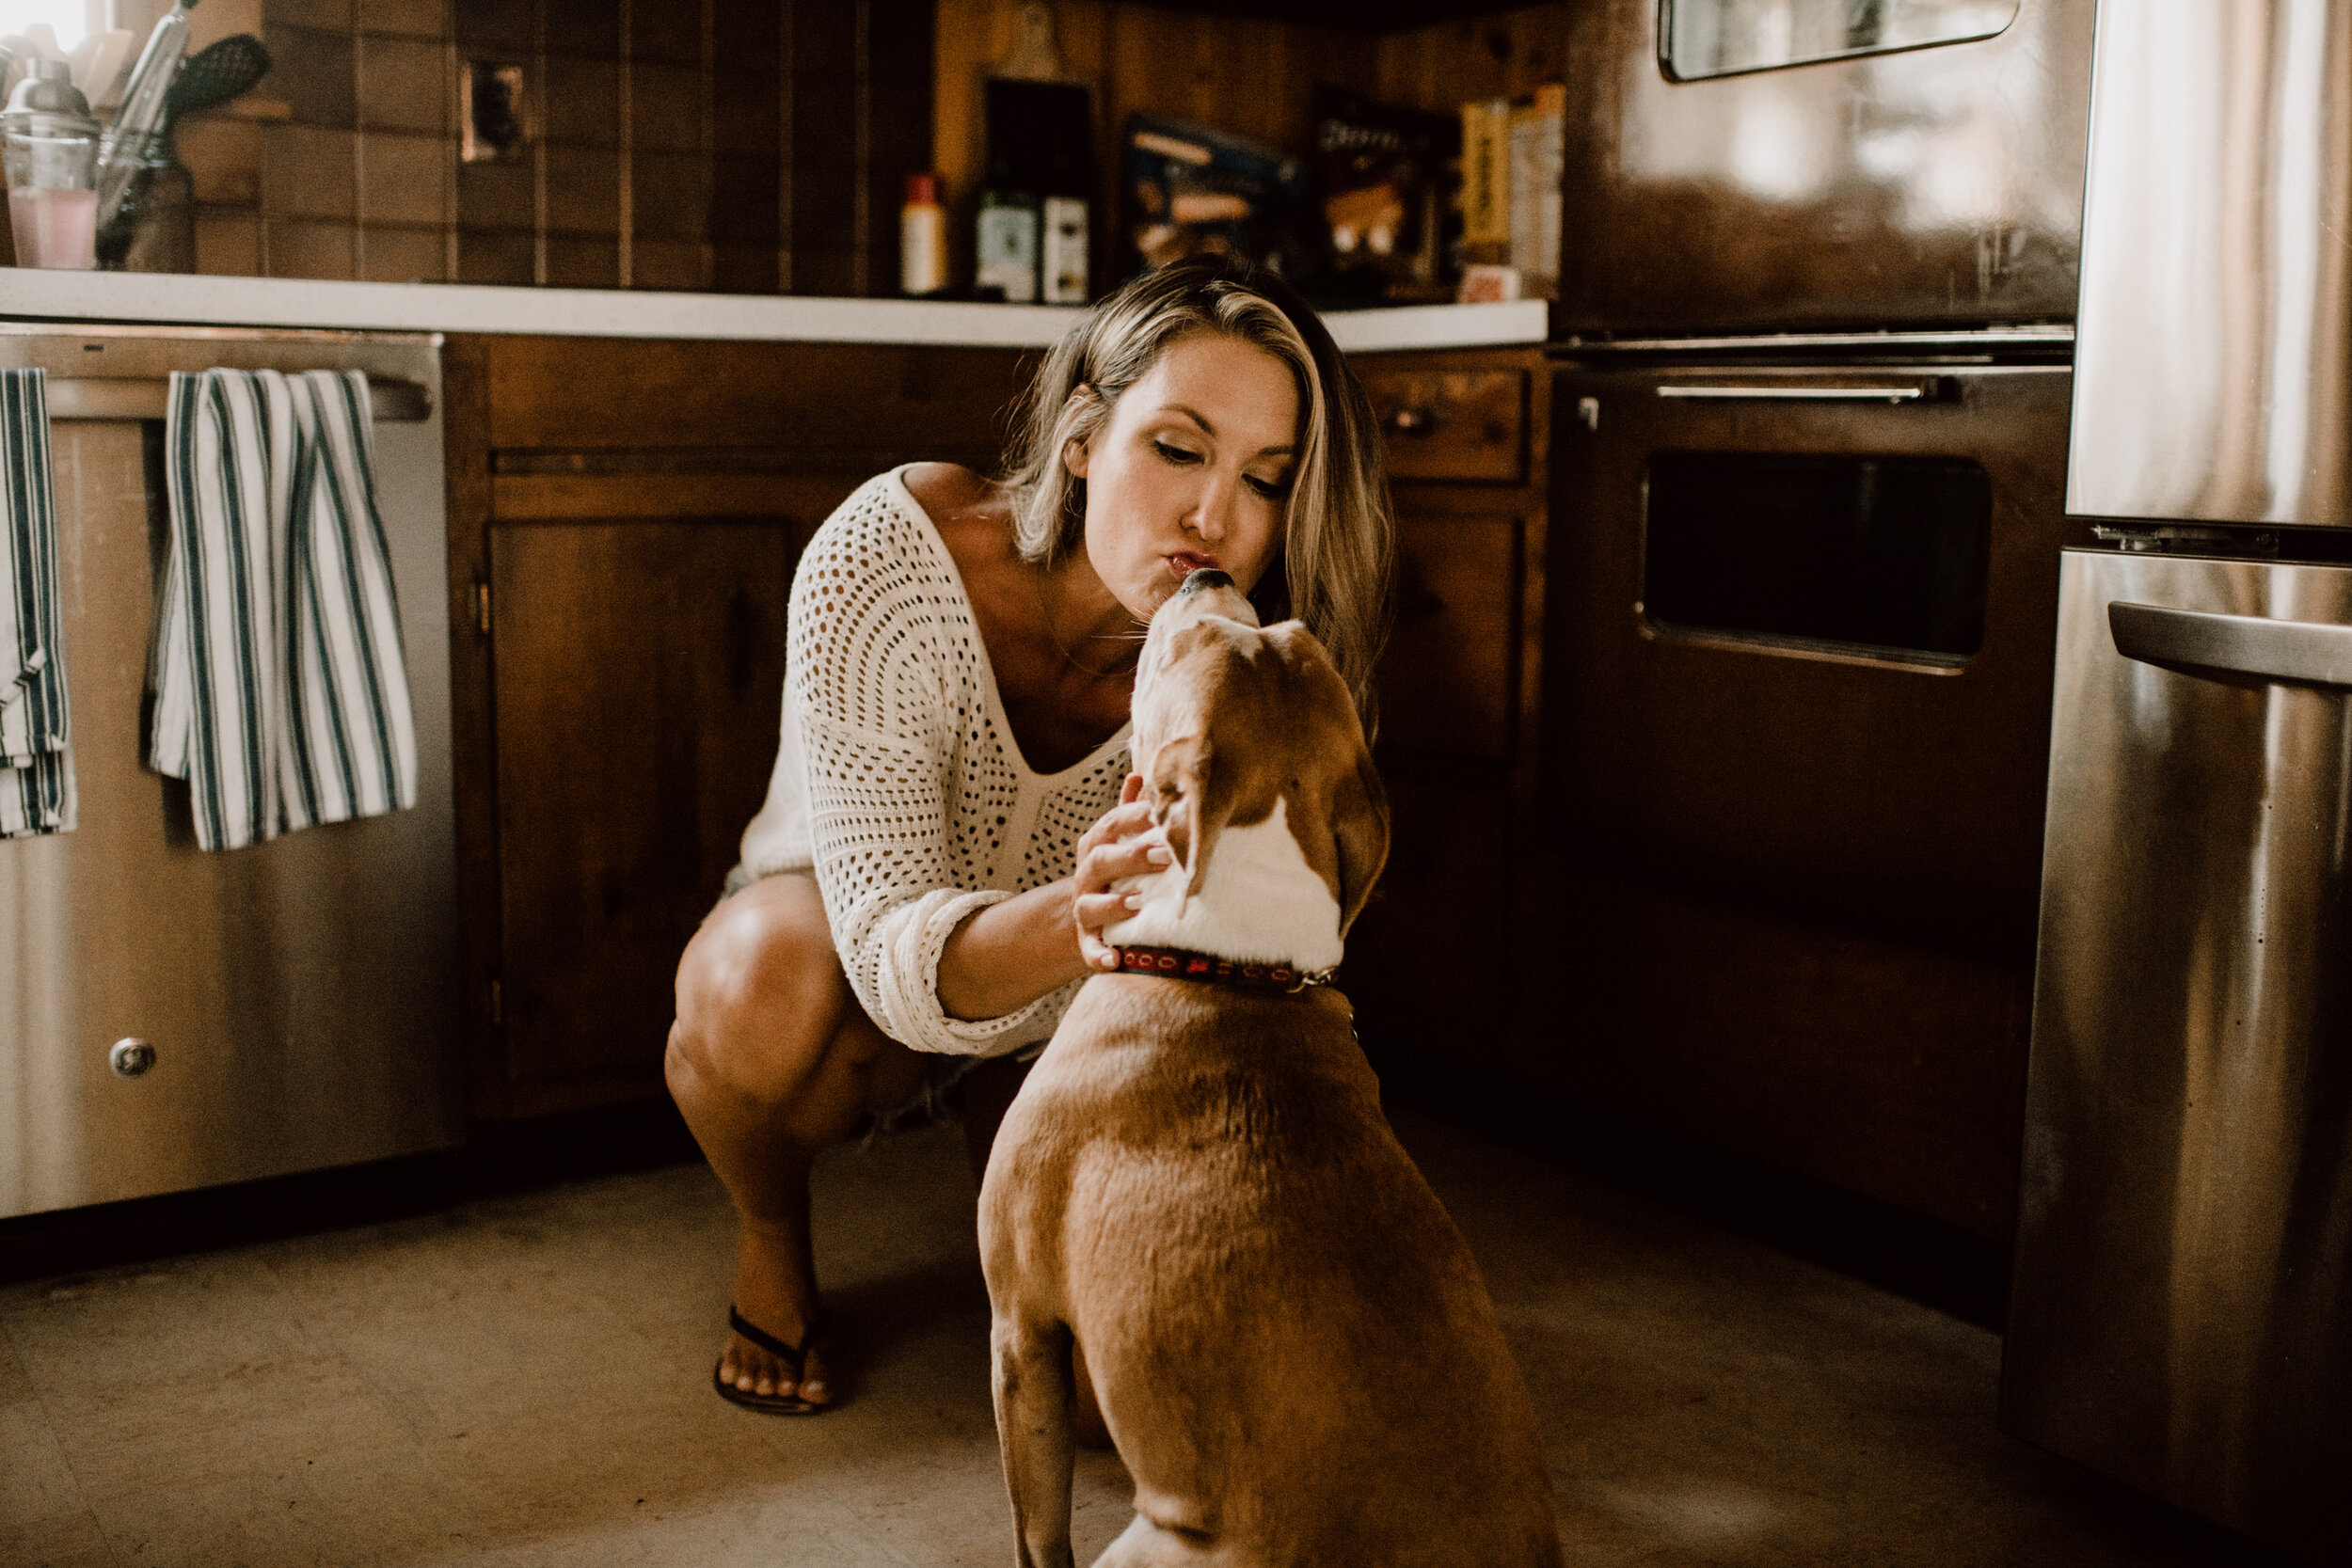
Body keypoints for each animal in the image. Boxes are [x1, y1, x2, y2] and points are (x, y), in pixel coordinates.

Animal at [974, 576, 1562, 1568]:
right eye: (1283, 630)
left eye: (1189, 641)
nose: (1205, 576)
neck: (1230, 965)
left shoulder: (1023, 1330)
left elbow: (1035, 1531)